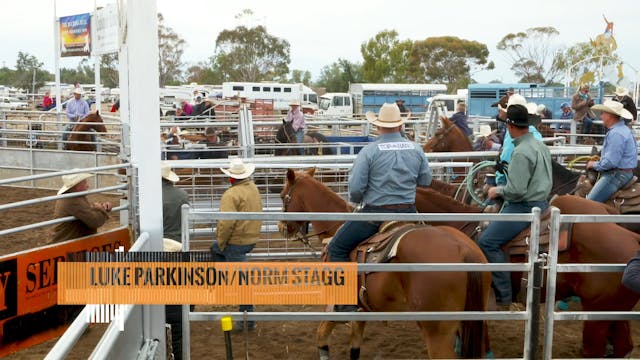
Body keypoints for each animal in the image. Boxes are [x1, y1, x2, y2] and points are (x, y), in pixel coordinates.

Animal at [278, 169, 490, 360]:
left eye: (281, 196)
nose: (281, 227)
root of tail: (463, 249)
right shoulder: (361, 310)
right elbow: (355, 347)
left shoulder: (334, 305)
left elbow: (321, 337)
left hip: (437, 331)